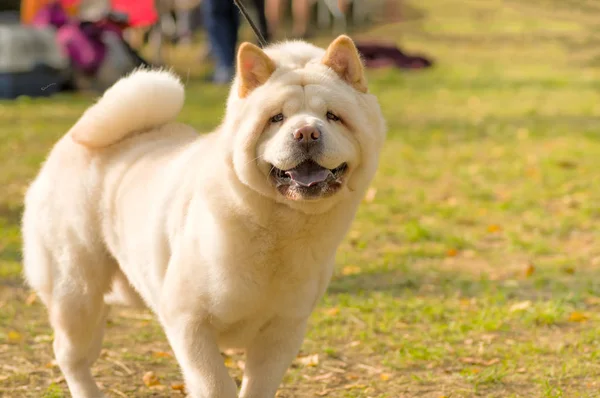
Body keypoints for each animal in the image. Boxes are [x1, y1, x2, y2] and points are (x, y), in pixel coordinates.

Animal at [21, 35, 386, 396]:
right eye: (277, 119)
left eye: (333, 116)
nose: (307, 132)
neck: (282, 227)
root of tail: (72, 139)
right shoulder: (189, 322)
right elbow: (215, 385)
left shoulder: (283, 330)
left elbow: (258, 387)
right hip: (77, 293)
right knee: (70, 356)